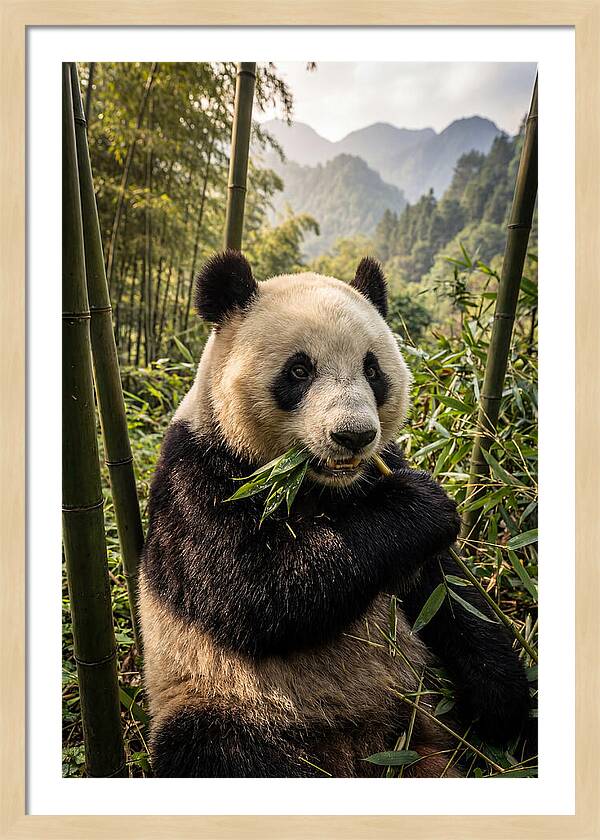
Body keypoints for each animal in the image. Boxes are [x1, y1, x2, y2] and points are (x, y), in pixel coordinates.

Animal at [139, 250, 531, 778]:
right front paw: (421, 506)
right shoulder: (198, 473)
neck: (317, 484)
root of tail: (364, 750)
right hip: (223, 697)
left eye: (372, 369)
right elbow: (252, 590)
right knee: (216, 750)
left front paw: (503, 702)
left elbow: (448, 595)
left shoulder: (382, 470)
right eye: (299, 371)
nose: (353, 435)